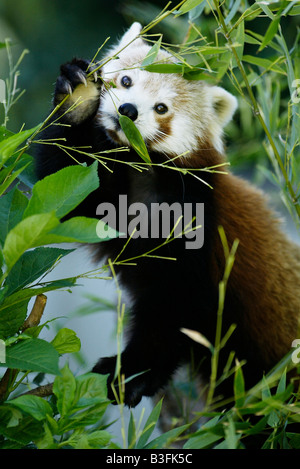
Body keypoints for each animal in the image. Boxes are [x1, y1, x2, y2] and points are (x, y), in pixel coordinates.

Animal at [35, 23, 300, 408]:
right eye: (126, 80)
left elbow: (175, 307)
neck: (141, 169)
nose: (128, 110)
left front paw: (130, 373)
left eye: (161, 108)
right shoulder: (107, 197)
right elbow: (64, 197)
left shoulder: (198, 222)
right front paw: (78, 98)